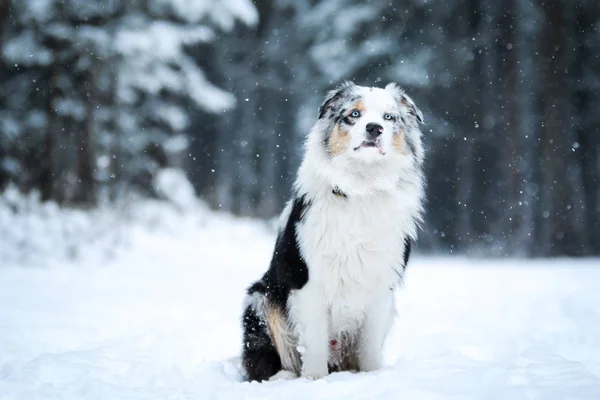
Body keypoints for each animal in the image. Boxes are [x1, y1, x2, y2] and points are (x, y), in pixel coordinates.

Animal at [241, 80, 424, 382]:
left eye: (389, 117)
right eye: (354, 114)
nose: (374, 128)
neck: (361, 188)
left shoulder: (382, 284)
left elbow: (369, 346)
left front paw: (374, 376)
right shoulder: (308, 281)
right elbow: (314, 342)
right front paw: (314, 380)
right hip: (260, 297)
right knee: (266, 359)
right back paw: (284, 377)